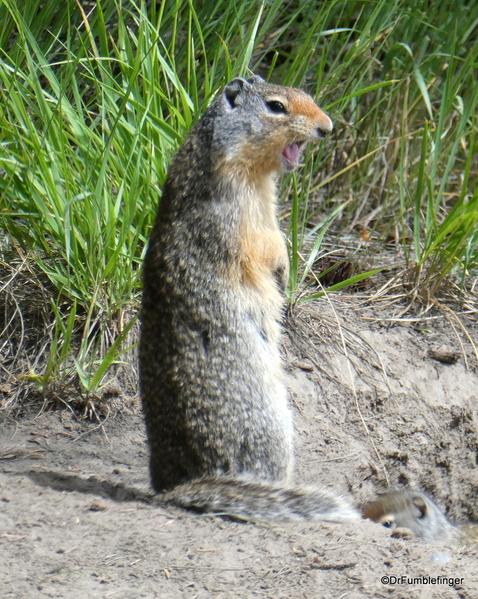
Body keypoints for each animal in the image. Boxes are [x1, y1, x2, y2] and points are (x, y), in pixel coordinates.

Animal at [138, 74, 358, 520]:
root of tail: (177, 485)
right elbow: (266, 249)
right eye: (276, 107)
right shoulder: (241, 219)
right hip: (271, 424)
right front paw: (283, 276)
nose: (327, 127)